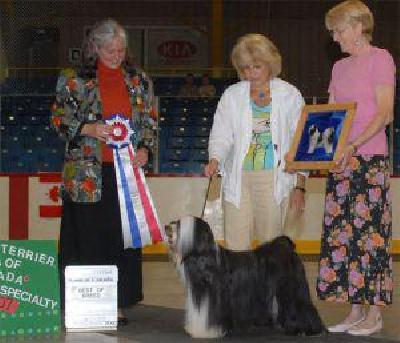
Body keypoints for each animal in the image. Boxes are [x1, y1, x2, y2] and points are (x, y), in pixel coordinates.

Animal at [166, 216, 324, 340]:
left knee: (303, 307)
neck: (205, 259)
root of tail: (287, 248)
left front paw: (208, 332)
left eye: (179, 226)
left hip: (292, 289)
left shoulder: (214, 298)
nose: (167, 227)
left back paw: (307, 329)